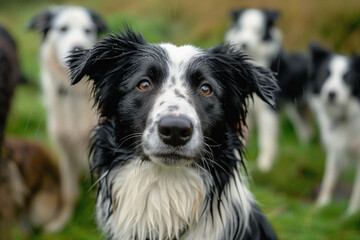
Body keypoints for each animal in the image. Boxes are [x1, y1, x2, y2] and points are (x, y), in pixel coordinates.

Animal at [225, 8, 312, 172]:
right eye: (240, 27)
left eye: (258, 31)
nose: (245, 43)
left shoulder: (268, 109)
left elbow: (265, 139)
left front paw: (264, 165)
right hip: (296, 109)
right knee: (306, 129)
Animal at [308, 43, 360, 216]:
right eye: (325, 74)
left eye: (348, 78)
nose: (331, 94)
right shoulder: (335, 149)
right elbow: (328, 181)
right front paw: (320, 207)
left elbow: (357, 191)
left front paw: (350, 215)